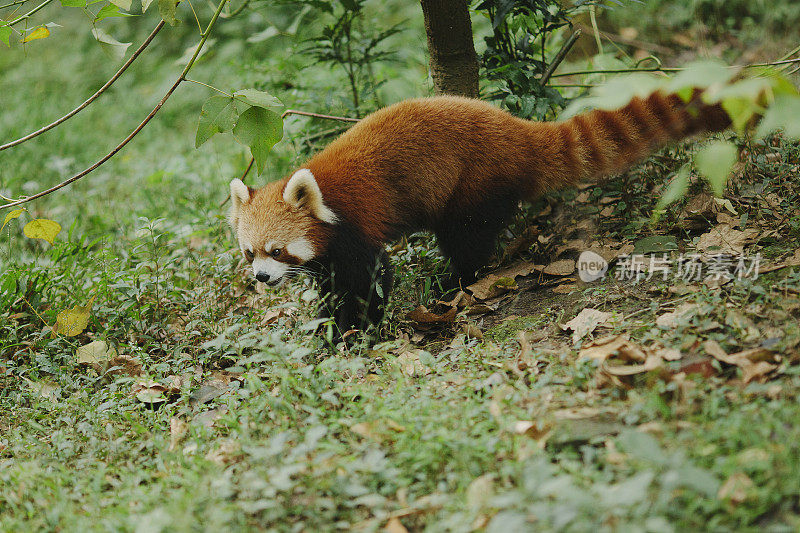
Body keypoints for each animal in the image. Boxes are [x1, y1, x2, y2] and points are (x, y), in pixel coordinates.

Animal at [225, 90, 732, 334]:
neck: (325, 201)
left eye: (277, 250)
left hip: (473, 181)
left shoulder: (355, 226)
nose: (262, 278)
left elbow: (370, 279)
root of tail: (517, 131)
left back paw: (453, 282)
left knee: (468, 238)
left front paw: (353, 330)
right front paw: (329, 321)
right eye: (251, 253)